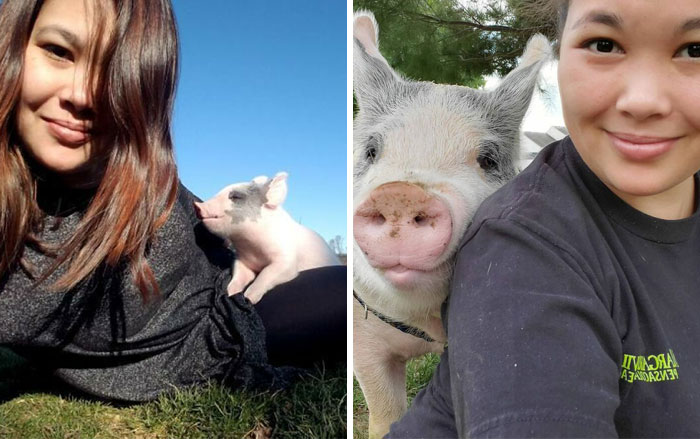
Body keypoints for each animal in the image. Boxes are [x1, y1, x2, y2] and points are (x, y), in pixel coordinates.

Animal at [194, 172, 340, 304]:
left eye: (236, 196)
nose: (197, 205)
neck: (253, 249)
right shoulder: (242, 260)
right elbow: (239, 274)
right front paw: (230, 293)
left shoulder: (286, 260)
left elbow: (266, 274)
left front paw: (248, 298)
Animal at [352, 10, 550, 439]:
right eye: (372, 151)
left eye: (488, 159)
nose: (401, 193)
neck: (425, 327)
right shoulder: (363, 336)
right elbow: (383, 414)